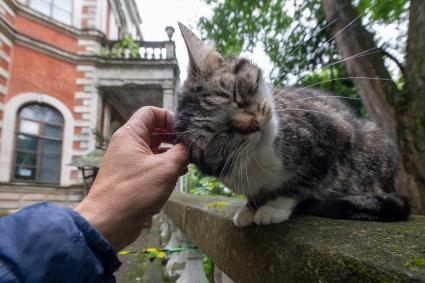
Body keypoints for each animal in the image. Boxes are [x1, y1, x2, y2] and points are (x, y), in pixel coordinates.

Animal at [172, 23, 408, 227]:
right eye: (220, 134)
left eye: (236, 96)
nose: (253, 124)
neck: (263, 157)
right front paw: (250, 207)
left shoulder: (334, 136)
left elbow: (305, 180)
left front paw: (274, 206)